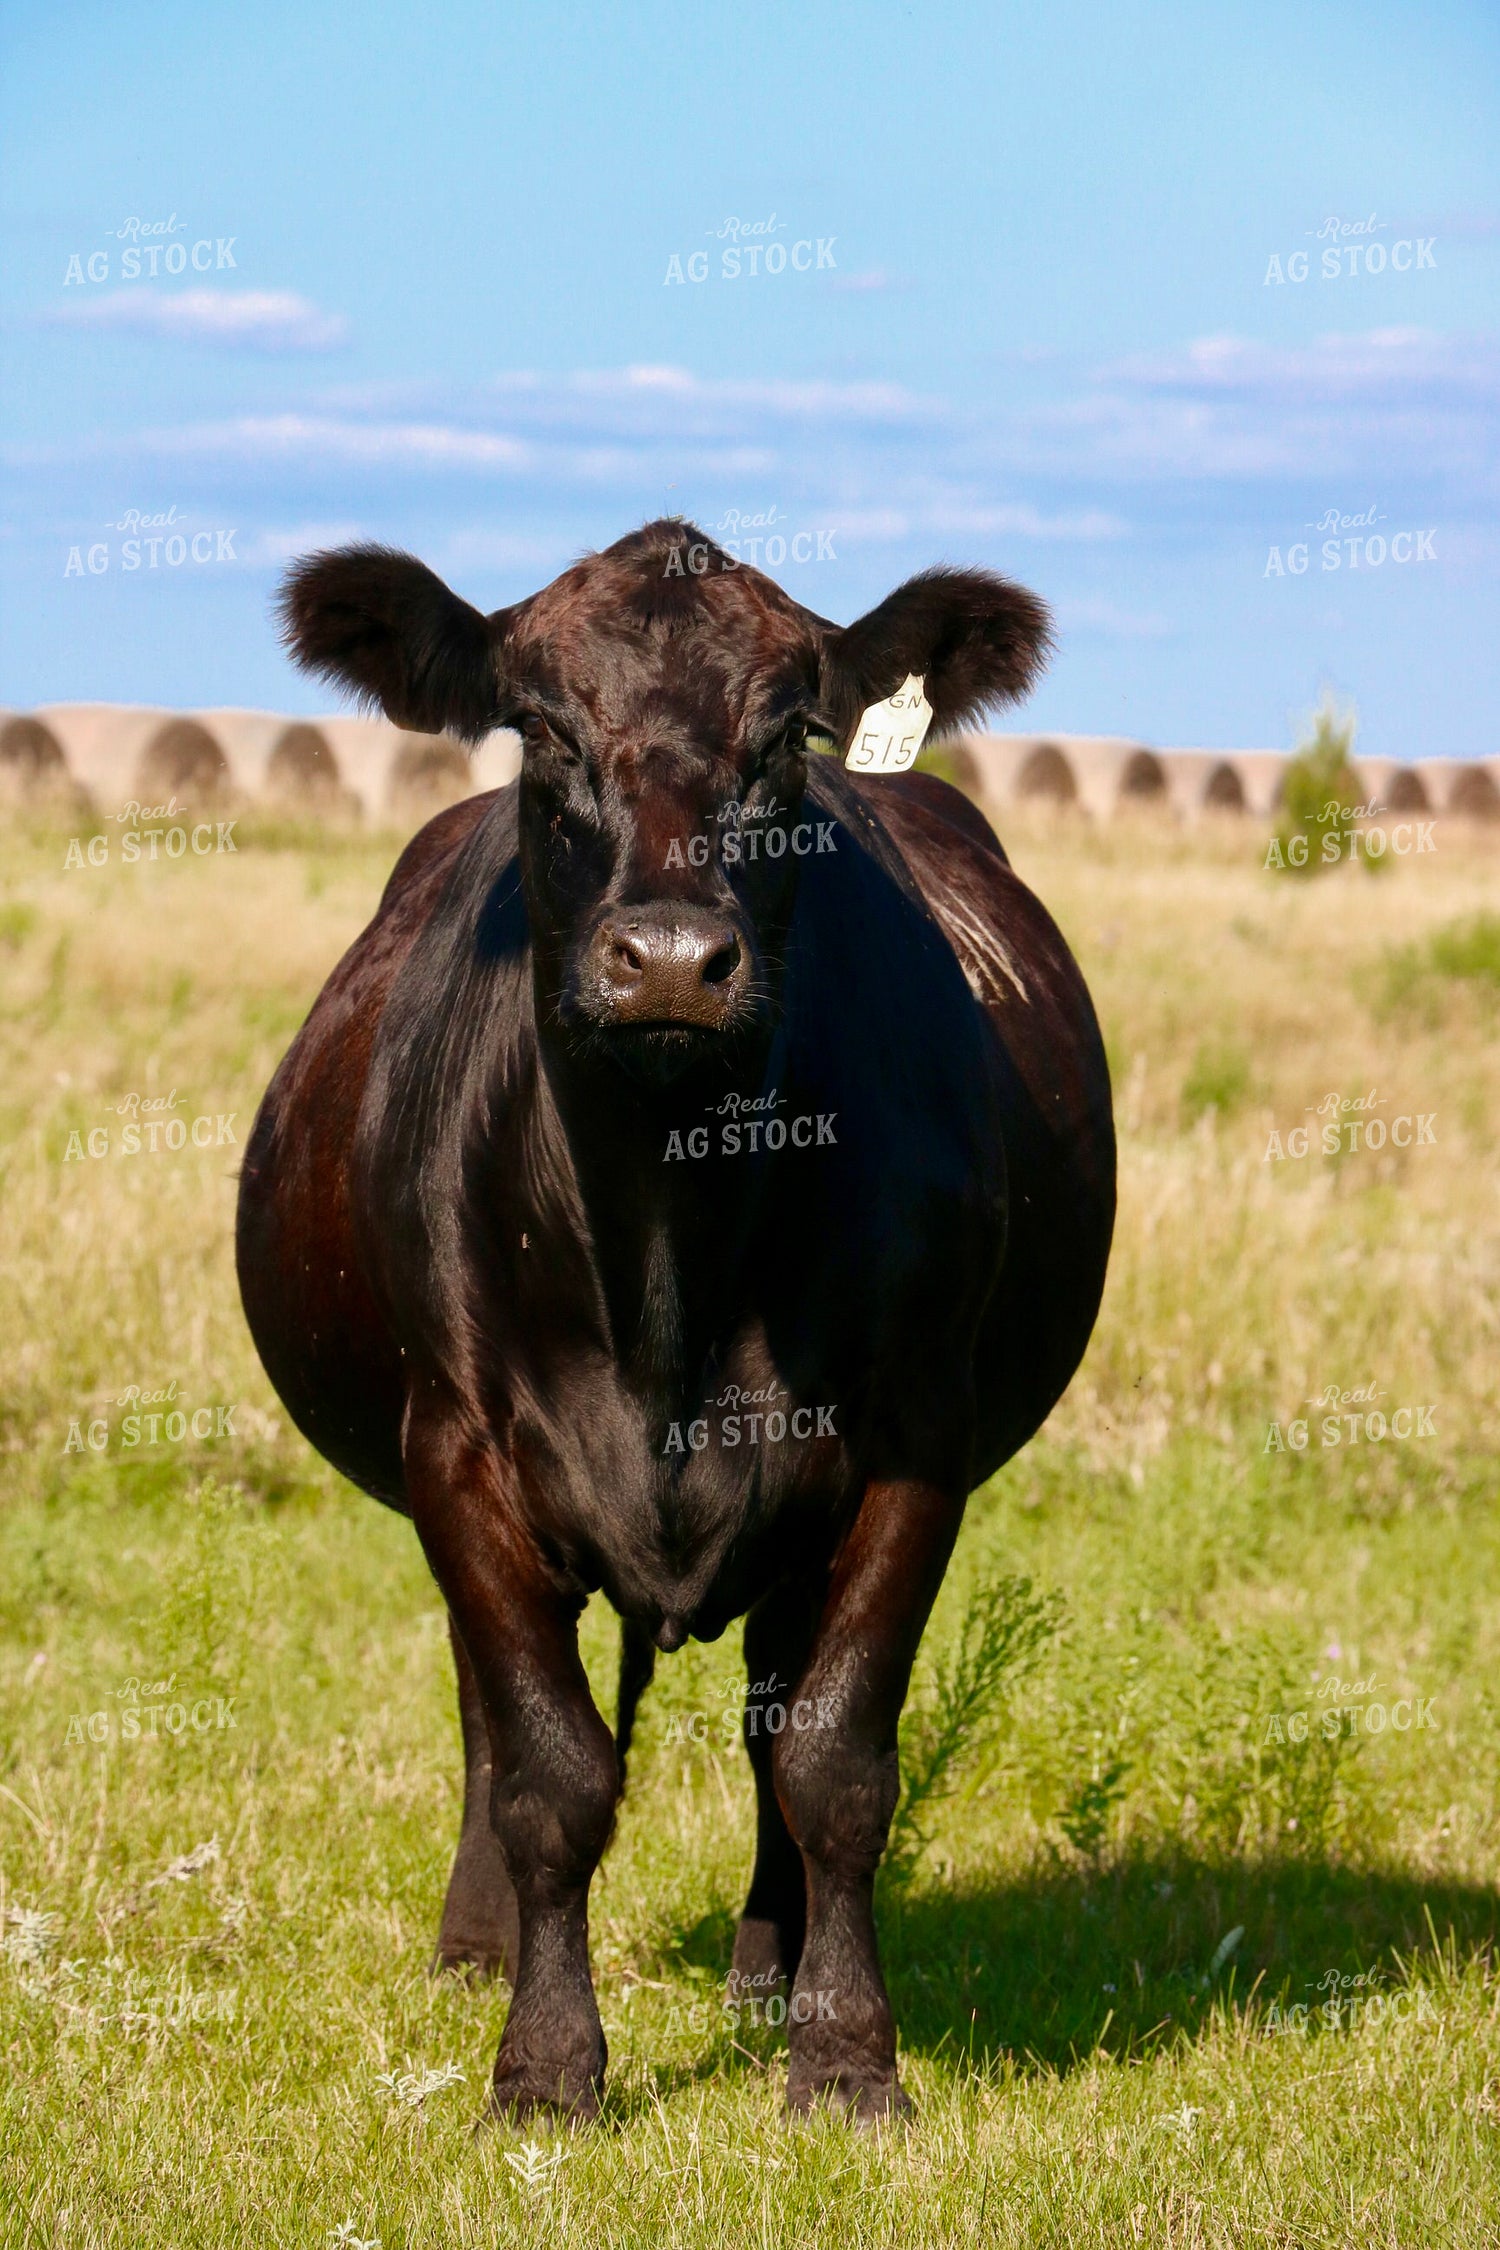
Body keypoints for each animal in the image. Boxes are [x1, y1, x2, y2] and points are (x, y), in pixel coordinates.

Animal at [235, 520, 1115, 2127]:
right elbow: (549, 1770)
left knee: (773, 1714)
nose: (665, 958)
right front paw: (543, 2064)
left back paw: (768, 1972)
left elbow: (836, 1759)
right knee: (487, 1711)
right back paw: (475, 1945)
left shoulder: (911, 1445)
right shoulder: (460, 1454)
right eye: (539, 727)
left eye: (789, 737)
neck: (667, 1252)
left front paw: (846, 2056)